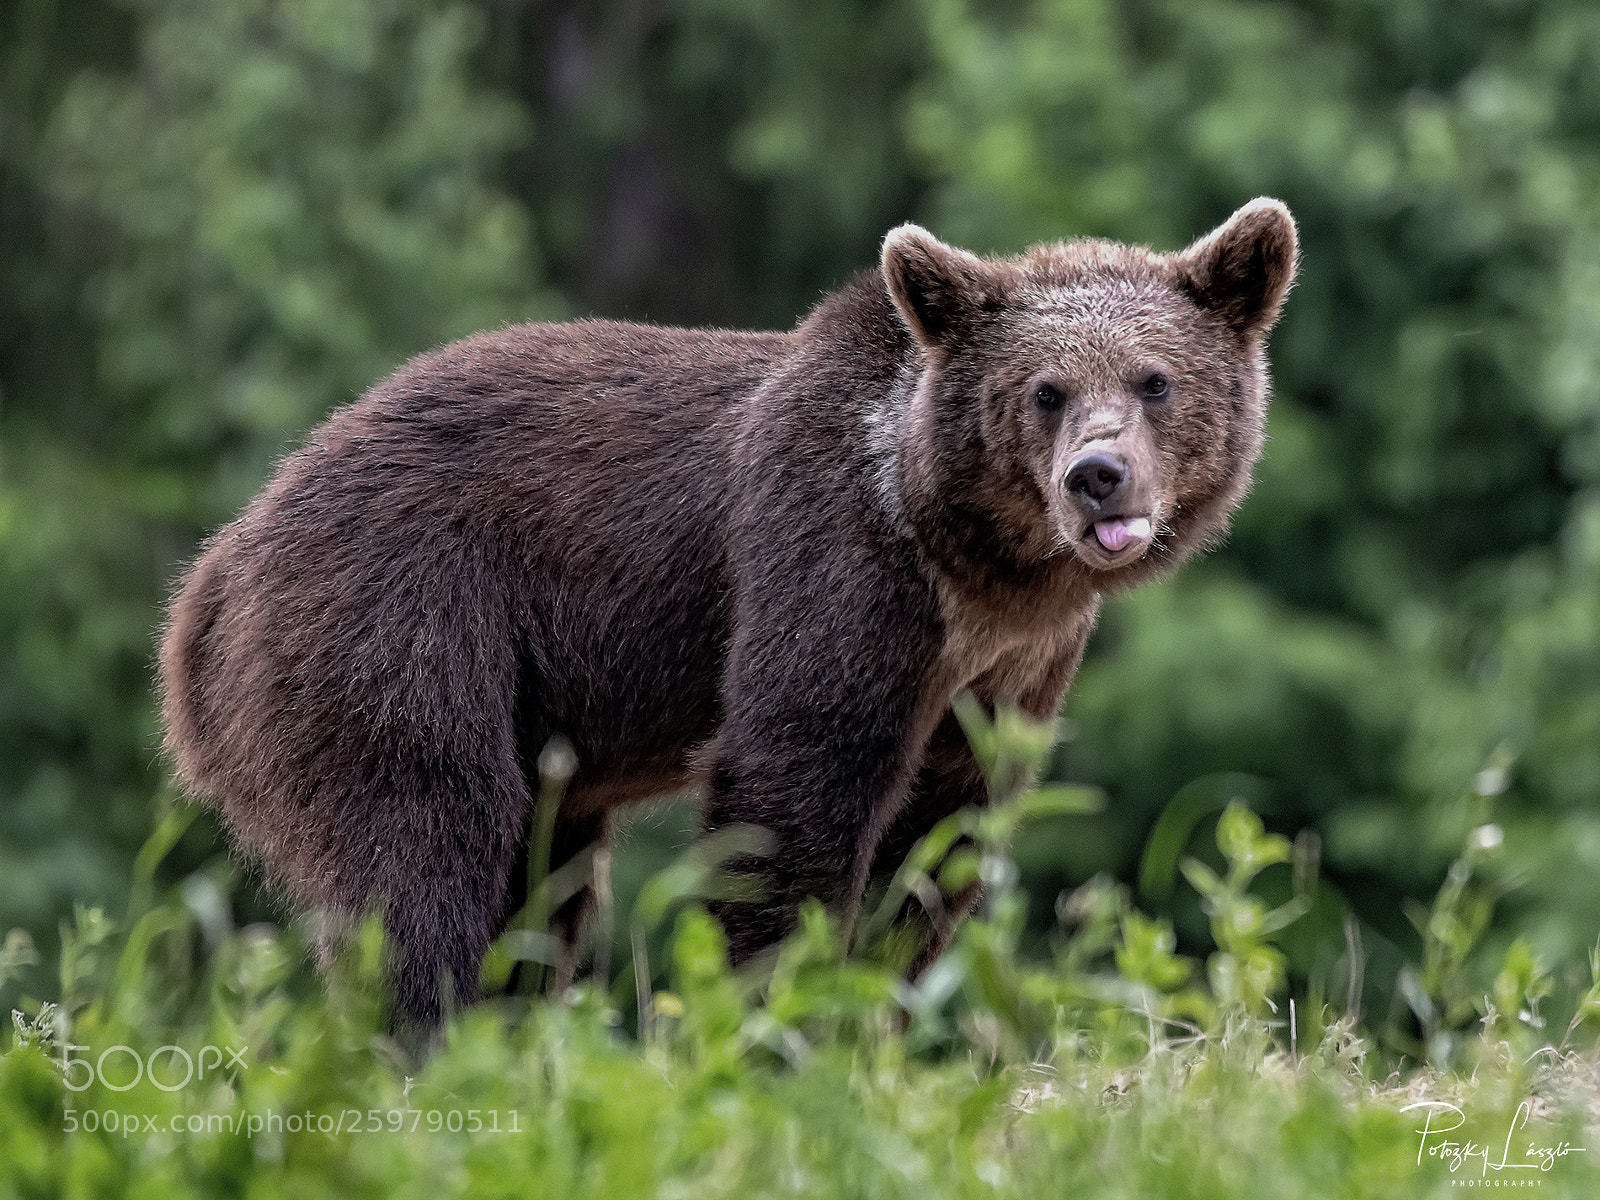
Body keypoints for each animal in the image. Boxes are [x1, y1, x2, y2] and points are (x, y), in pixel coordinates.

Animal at [160, 199, 1297, 1029]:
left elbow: (938, 841)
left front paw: (881, 1009)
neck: (966, 565)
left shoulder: (1002, 670)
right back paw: (427, 1042)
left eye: (1154, 380)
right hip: (397, 617)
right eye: (1045, 391)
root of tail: (212, 579)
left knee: (539, 881)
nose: (1097, 478)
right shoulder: (835, 564)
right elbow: (792, 783)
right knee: (426, 842)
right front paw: (782, 1021)